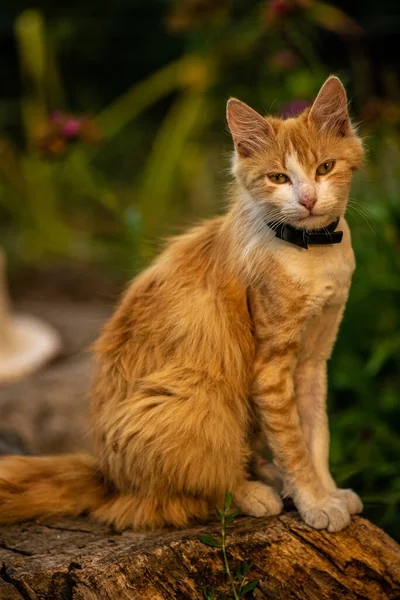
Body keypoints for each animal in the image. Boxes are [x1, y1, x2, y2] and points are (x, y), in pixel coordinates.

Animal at [0, 77, 364, 532]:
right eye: (278, 177)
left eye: (325, 168)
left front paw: (328, 491)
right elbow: (293, 444)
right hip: (195, 396)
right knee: (183, 490)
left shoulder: (313, 361)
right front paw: (313, 500)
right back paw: (251, 492)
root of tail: (107, 474)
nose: (308, 199)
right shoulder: (271, 369)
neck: (311, 250)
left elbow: (316, 434)